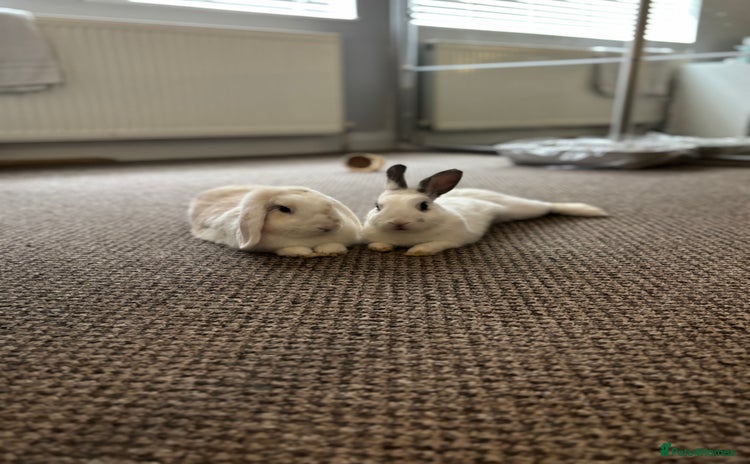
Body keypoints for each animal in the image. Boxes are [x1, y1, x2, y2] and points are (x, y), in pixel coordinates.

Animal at [189, 185, 361, 257]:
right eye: (284, 209)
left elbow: (333, 245)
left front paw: (329, 249)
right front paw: (300, 252)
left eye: (329, 204)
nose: (334, 222)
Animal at [363, 164, 607, 256]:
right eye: (377, 206)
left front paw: (417, 251)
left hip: (524, 209)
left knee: (549, 207)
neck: (405, 236)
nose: (398, 222)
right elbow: (378, 243)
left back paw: (589, 210)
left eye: (424, 206)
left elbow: (433, 244)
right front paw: (381, 247)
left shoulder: (452, 238)